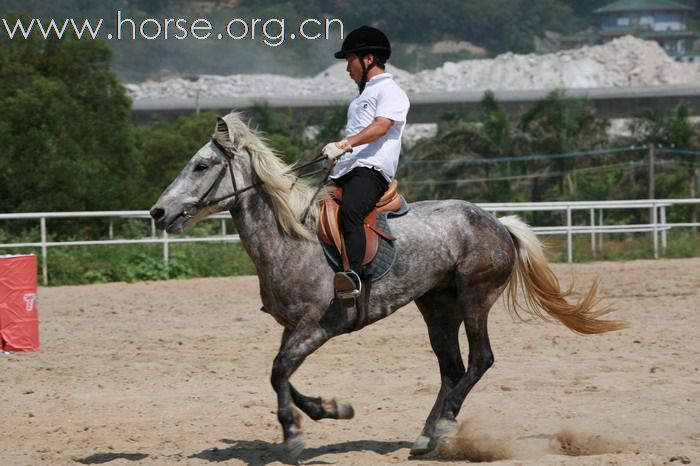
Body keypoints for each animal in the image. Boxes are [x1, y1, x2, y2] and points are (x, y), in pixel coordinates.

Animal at [149, 112, 624, 458]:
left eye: (202, 165)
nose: (157, 213)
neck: (292, 236)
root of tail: (497, 223)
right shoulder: (294, 328)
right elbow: (281, 373)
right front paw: (329, 409)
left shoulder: (318, 327)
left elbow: (279, 371)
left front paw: (295, 435)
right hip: (438, 306)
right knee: (451, 368)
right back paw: (426, 437)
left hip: (475, 297)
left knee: (479, 361)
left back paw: (445, 424)